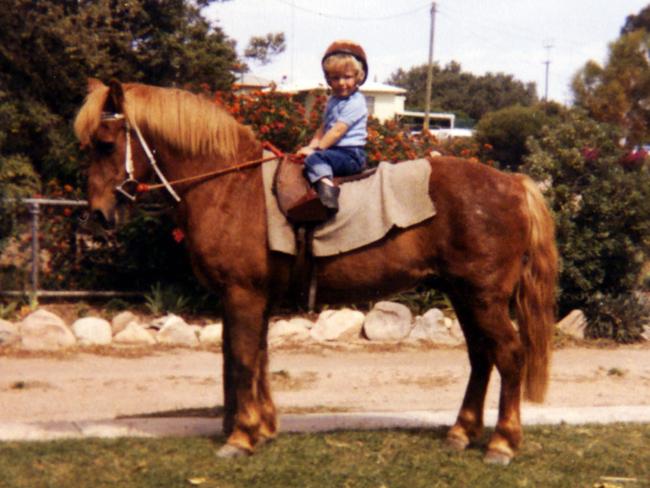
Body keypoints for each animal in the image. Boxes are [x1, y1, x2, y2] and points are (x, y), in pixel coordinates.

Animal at [73, 78, 556, 464]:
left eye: (106, 143)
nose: (98, 214)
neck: (231, 188)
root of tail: (514, 184)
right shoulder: (254, 299)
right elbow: (255, 358)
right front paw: (262, 427)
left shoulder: (242, 295)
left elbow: (241, 359)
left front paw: (240, 436)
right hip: (464, 294)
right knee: (481, 356)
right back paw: (461, 432)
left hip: (484, 297)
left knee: (509, 355)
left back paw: (502, 443)